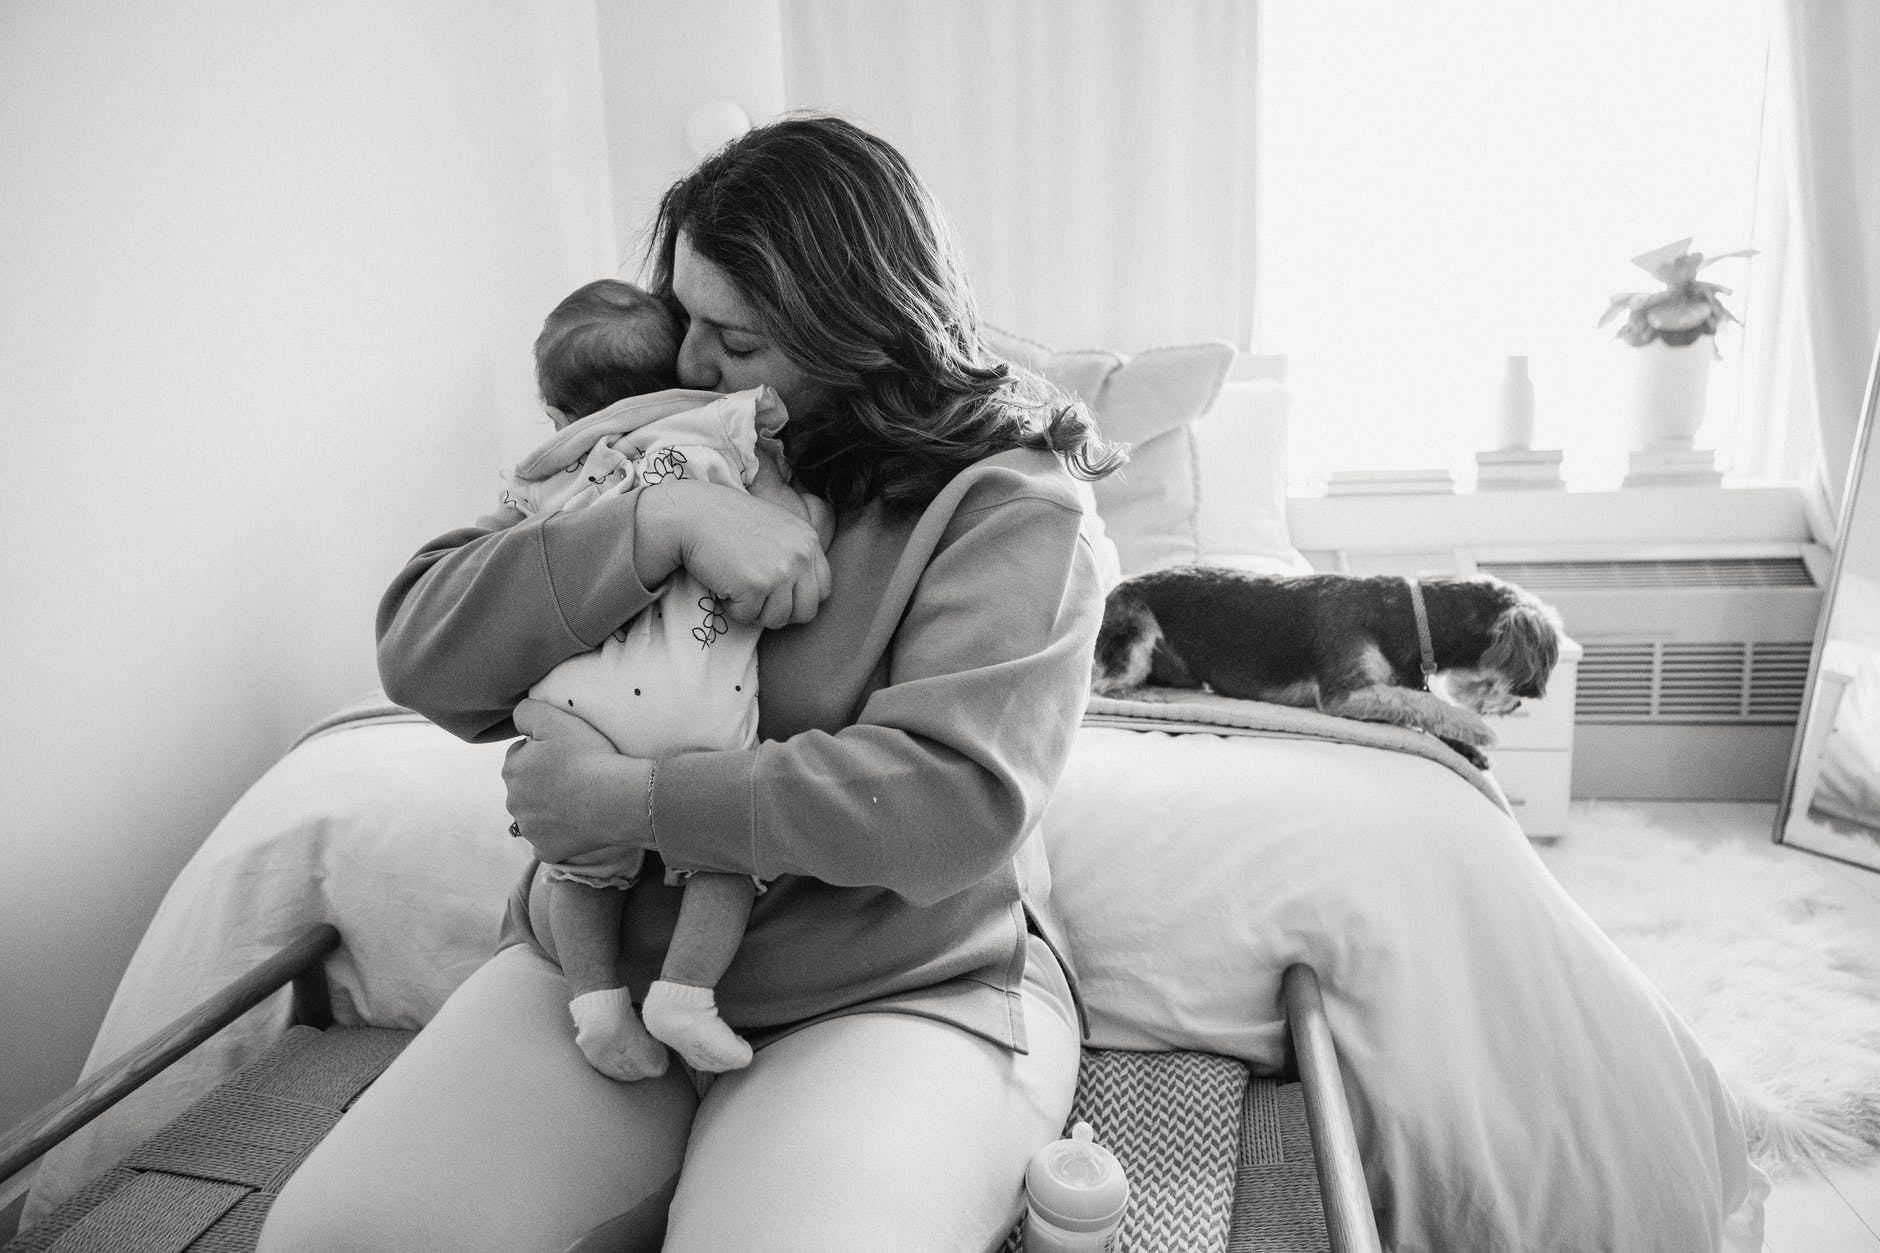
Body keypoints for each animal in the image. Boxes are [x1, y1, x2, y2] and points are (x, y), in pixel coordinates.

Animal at [1097, 564, 1564, 760]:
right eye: (1538, 670)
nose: (1520, 704)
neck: (1410, 617)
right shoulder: (1346, 693)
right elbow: (1426, 703)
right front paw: (1477, 730)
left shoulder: (1390, 686)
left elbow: (1425, 707)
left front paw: (1467, 746)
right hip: (1133, 631)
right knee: (1104, 686)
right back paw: (1148, 697)